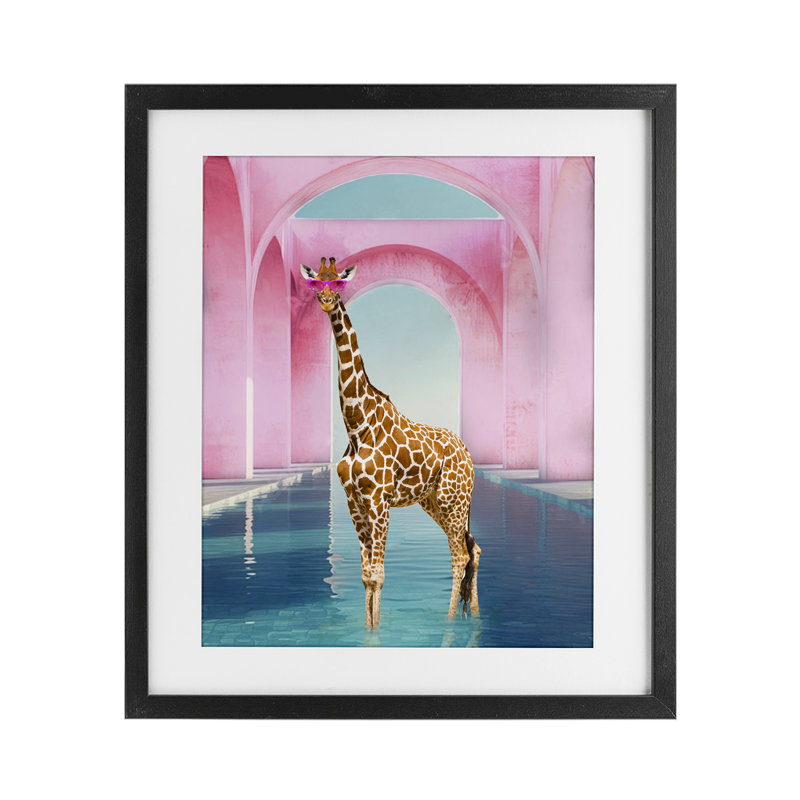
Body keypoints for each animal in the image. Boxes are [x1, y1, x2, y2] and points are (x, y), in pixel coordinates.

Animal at [300, 257, 481, 629]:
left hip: (454, 501)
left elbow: (379, 575)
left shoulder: (379, 500)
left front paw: (376, 632)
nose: (326, 301)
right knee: (474, 549)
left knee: (460, 555)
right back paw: (473, 615)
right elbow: (367, 575)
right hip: (435, 502)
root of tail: (468, 454)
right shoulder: (354, 500)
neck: (357, 423)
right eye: (315, 282)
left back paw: (450, 622)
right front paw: (369, 630)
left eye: (338, 282)